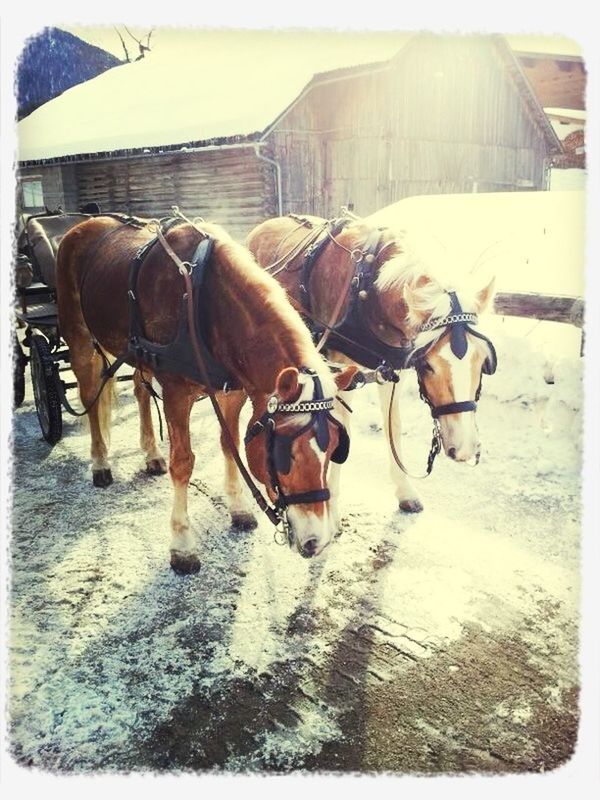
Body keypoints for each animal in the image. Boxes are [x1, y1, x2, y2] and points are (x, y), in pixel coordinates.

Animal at [55, 216, 356, 572]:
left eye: (336, 448)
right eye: (285, 452)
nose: (316, 542)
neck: (204, 300)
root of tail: (84, 223)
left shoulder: (234, 393)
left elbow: (231, 444)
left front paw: (239, 508)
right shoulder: (176, 392)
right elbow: (183, 463)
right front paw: (182, 545)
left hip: (139, 356)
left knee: (141, 391)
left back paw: (151, 453)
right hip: (80, 339)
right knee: (90, 394)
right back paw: (100, 462)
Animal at [246, 212, 494, 516]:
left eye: (483, 362)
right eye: (427, 366)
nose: (465, 448)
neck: (368, 286)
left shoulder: (391, 369)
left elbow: (393, 427)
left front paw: (405, 491)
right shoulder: (339, 371)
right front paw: (332, 504)